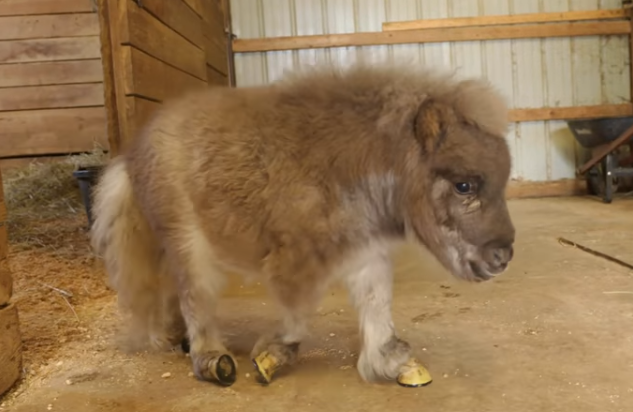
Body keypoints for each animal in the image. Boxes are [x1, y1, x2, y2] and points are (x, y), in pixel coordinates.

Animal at [90, 62, 512, 388]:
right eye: (464, 185)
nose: (502, 256)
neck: (359, 159)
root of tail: (132, 153)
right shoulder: (297, 260)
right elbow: (299, 314)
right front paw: (271, 356)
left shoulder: (366, 253)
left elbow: (376, 304)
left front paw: (393, 363)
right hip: (188, 243)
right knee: (195, 297)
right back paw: (212, 360)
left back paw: (178, 338)